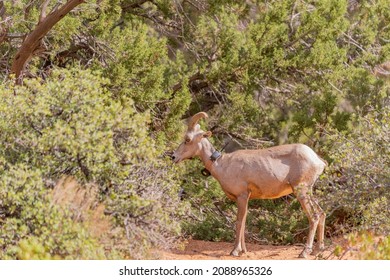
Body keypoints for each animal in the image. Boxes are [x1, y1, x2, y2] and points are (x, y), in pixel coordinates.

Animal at [172, 111, 328, 258]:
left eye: (187, 139)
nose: (174, 157)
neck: (223, 164)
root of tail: (318, 161)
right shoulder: (245, 198)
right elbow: (244, 220)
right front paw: (243, 251)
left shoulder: (242, 196)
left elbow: (239, 221)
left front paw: (235, 251)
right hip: (308, 191)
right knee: (321, 212)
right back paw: (318, 250)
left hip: (301, 191)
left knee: (314, 215)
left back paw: (304, 252)